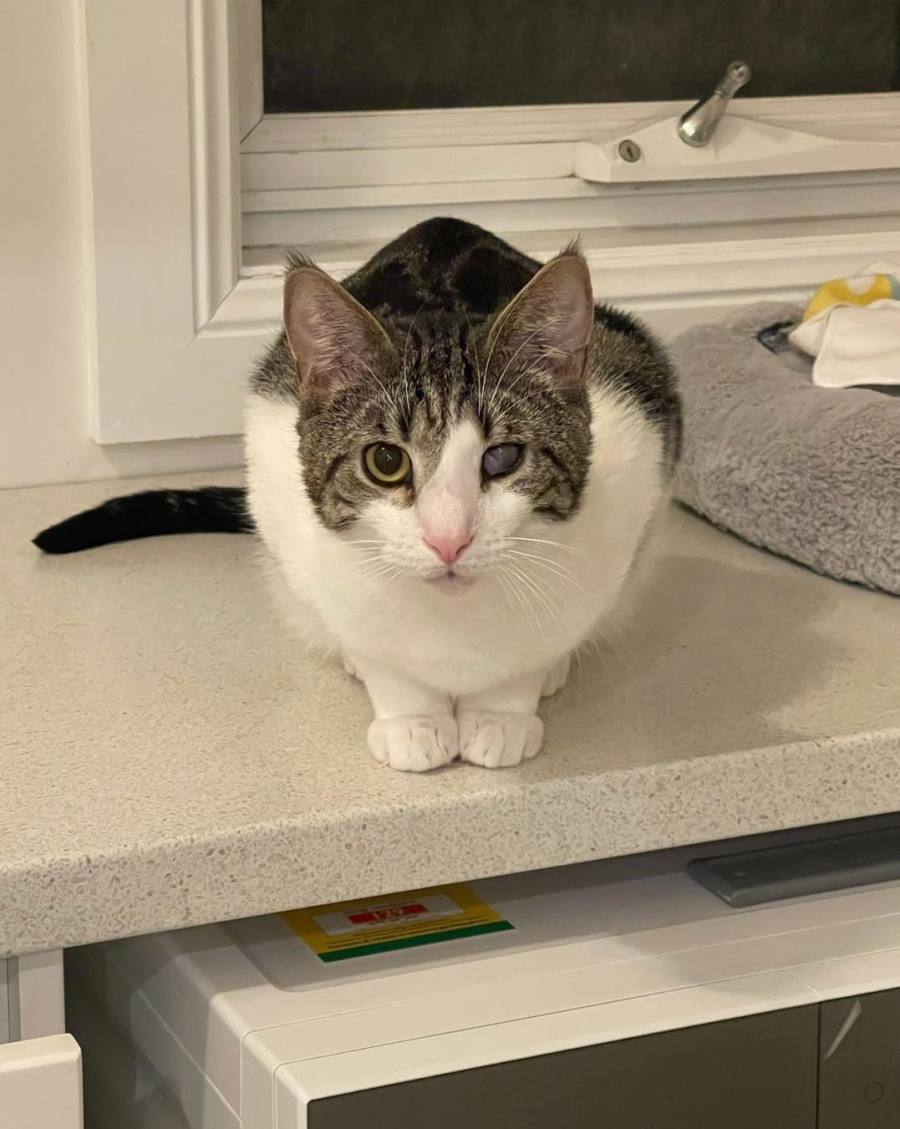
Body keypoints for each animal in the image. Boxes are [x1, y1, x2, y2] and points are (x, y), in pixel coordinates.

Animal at [34, 218, 680, 772]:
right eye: (386, 461)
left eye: (503, 458)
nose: (449, 540)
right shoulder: (289, 514)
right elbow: (374, 647)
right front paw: (411, 719)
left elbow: (539, 645)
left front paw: (504, 711)